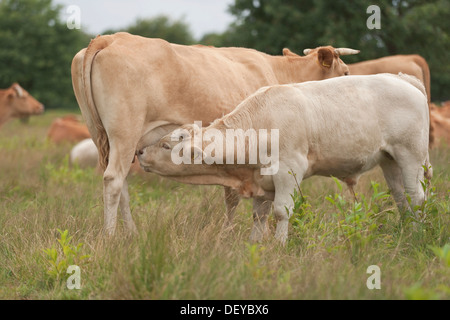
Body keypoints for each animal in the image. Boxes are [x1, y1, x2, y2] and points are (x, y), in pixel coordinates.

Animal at [71, 31, 358, 234]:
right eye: (345, 72)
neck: (280, 72)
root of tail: (110, 38)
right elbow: (242, 199)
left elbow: (232, 197)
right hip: (125, 132)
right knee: (114, 180)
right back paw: (111, 237)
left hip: (104, 139)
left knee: (122, 185)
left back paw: (132, 234)